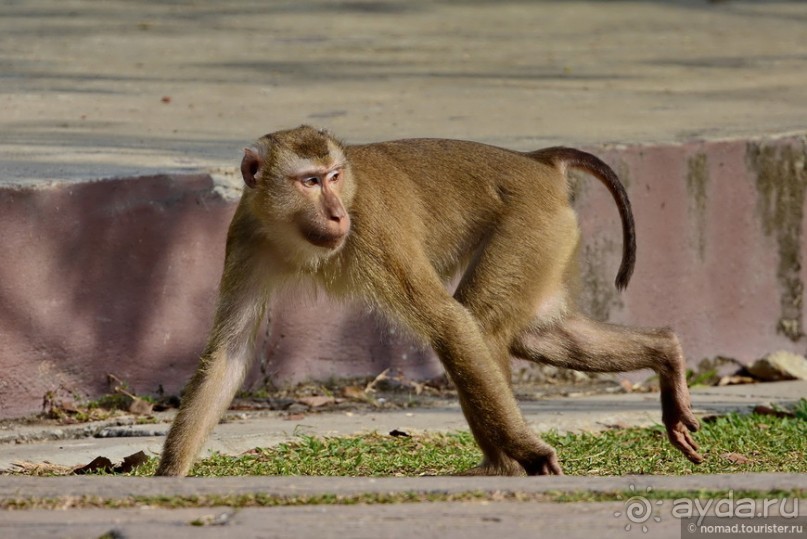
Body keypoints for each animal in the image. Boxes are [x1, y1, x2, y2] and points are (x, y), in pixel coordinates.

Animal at [156, 126, 700, 476]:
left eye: (334, 177)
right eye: (309, 181)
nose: (335, 215)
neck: (291, 230)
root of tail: (536, 161)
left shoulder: (372, 225)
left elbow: (448, 321)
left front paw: (531, 453)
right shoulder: (246, 235)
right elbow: (230, 351)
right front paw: (171, 475)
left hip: (533, 224)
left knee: (478, 324)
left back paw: (503, 465)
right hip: (549, 233)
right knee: (534, 333)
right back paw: (667, 351)